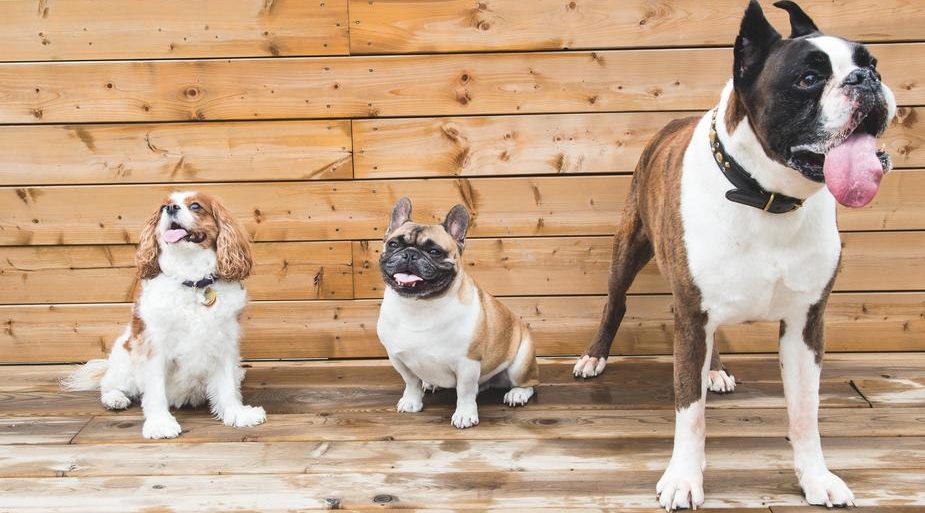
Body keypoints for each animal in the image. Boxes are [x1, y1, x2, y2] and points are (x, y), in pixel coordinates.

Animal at [572, 2, 896, 508]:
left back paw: (717, 369)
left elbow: (805, 412)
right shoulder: (691, 315)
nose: (866, 78)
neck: (766, 196)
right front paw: (684, 478)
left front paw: (816, 477)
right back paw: (594, 357)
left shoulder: (805, 324)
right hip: (629, 250)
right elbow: (689, 412)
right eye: (808, 78)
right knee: (616, 303)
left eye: (872, 62)